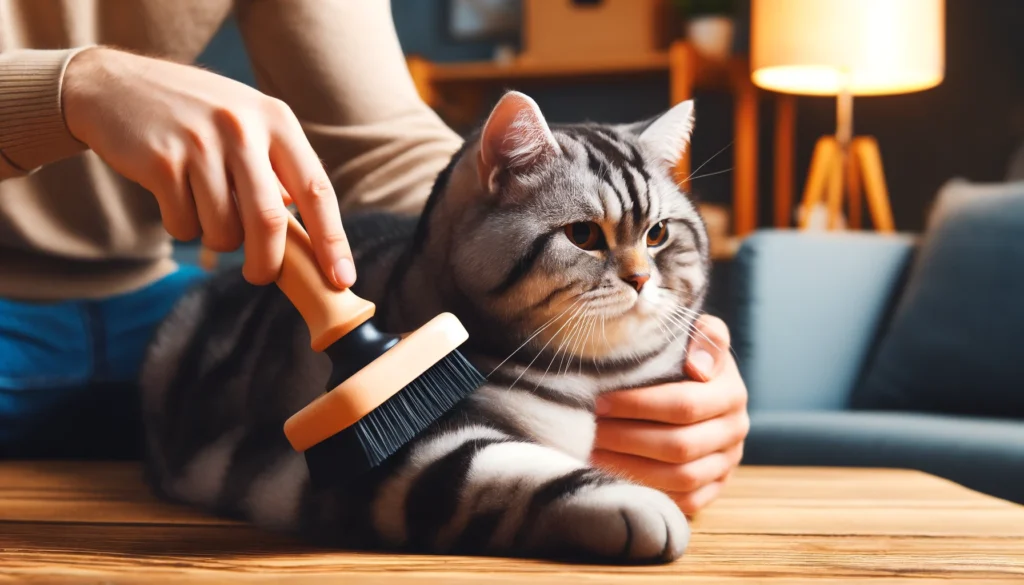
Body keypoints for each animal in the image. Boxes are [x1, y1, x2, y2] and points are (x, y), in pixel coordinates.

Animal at [138, 90, 712, 561]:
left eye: (658, 234)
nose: (641, 279)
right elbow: (517, 476)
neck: (596, 375)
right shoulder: (406, 461)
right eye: (583, 235)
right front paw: (634, 502)